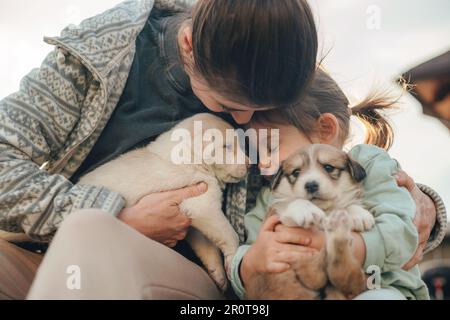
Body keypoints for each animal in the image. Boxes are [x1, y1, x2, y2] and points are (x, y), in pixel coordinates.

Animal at [81, 113, 250, 290]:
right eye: (227, 146)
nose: (249, 164)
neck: (191, 158)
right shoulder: (203, 207)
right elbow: (230, 234)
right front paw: (233, 259)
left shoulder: (193, 220)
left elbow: (208, 247)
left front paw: (219, 274)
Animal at [248, 145, 374, 300]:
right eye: (296, 172)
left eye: (328, 167)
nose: (311, 185)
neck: (324, 210)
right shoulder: (277, 219)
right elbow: (293, 202)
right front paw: (306, 210)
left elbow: (348, 204)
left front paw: (359, 214)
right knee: (322, 273)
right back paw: (337, 230)